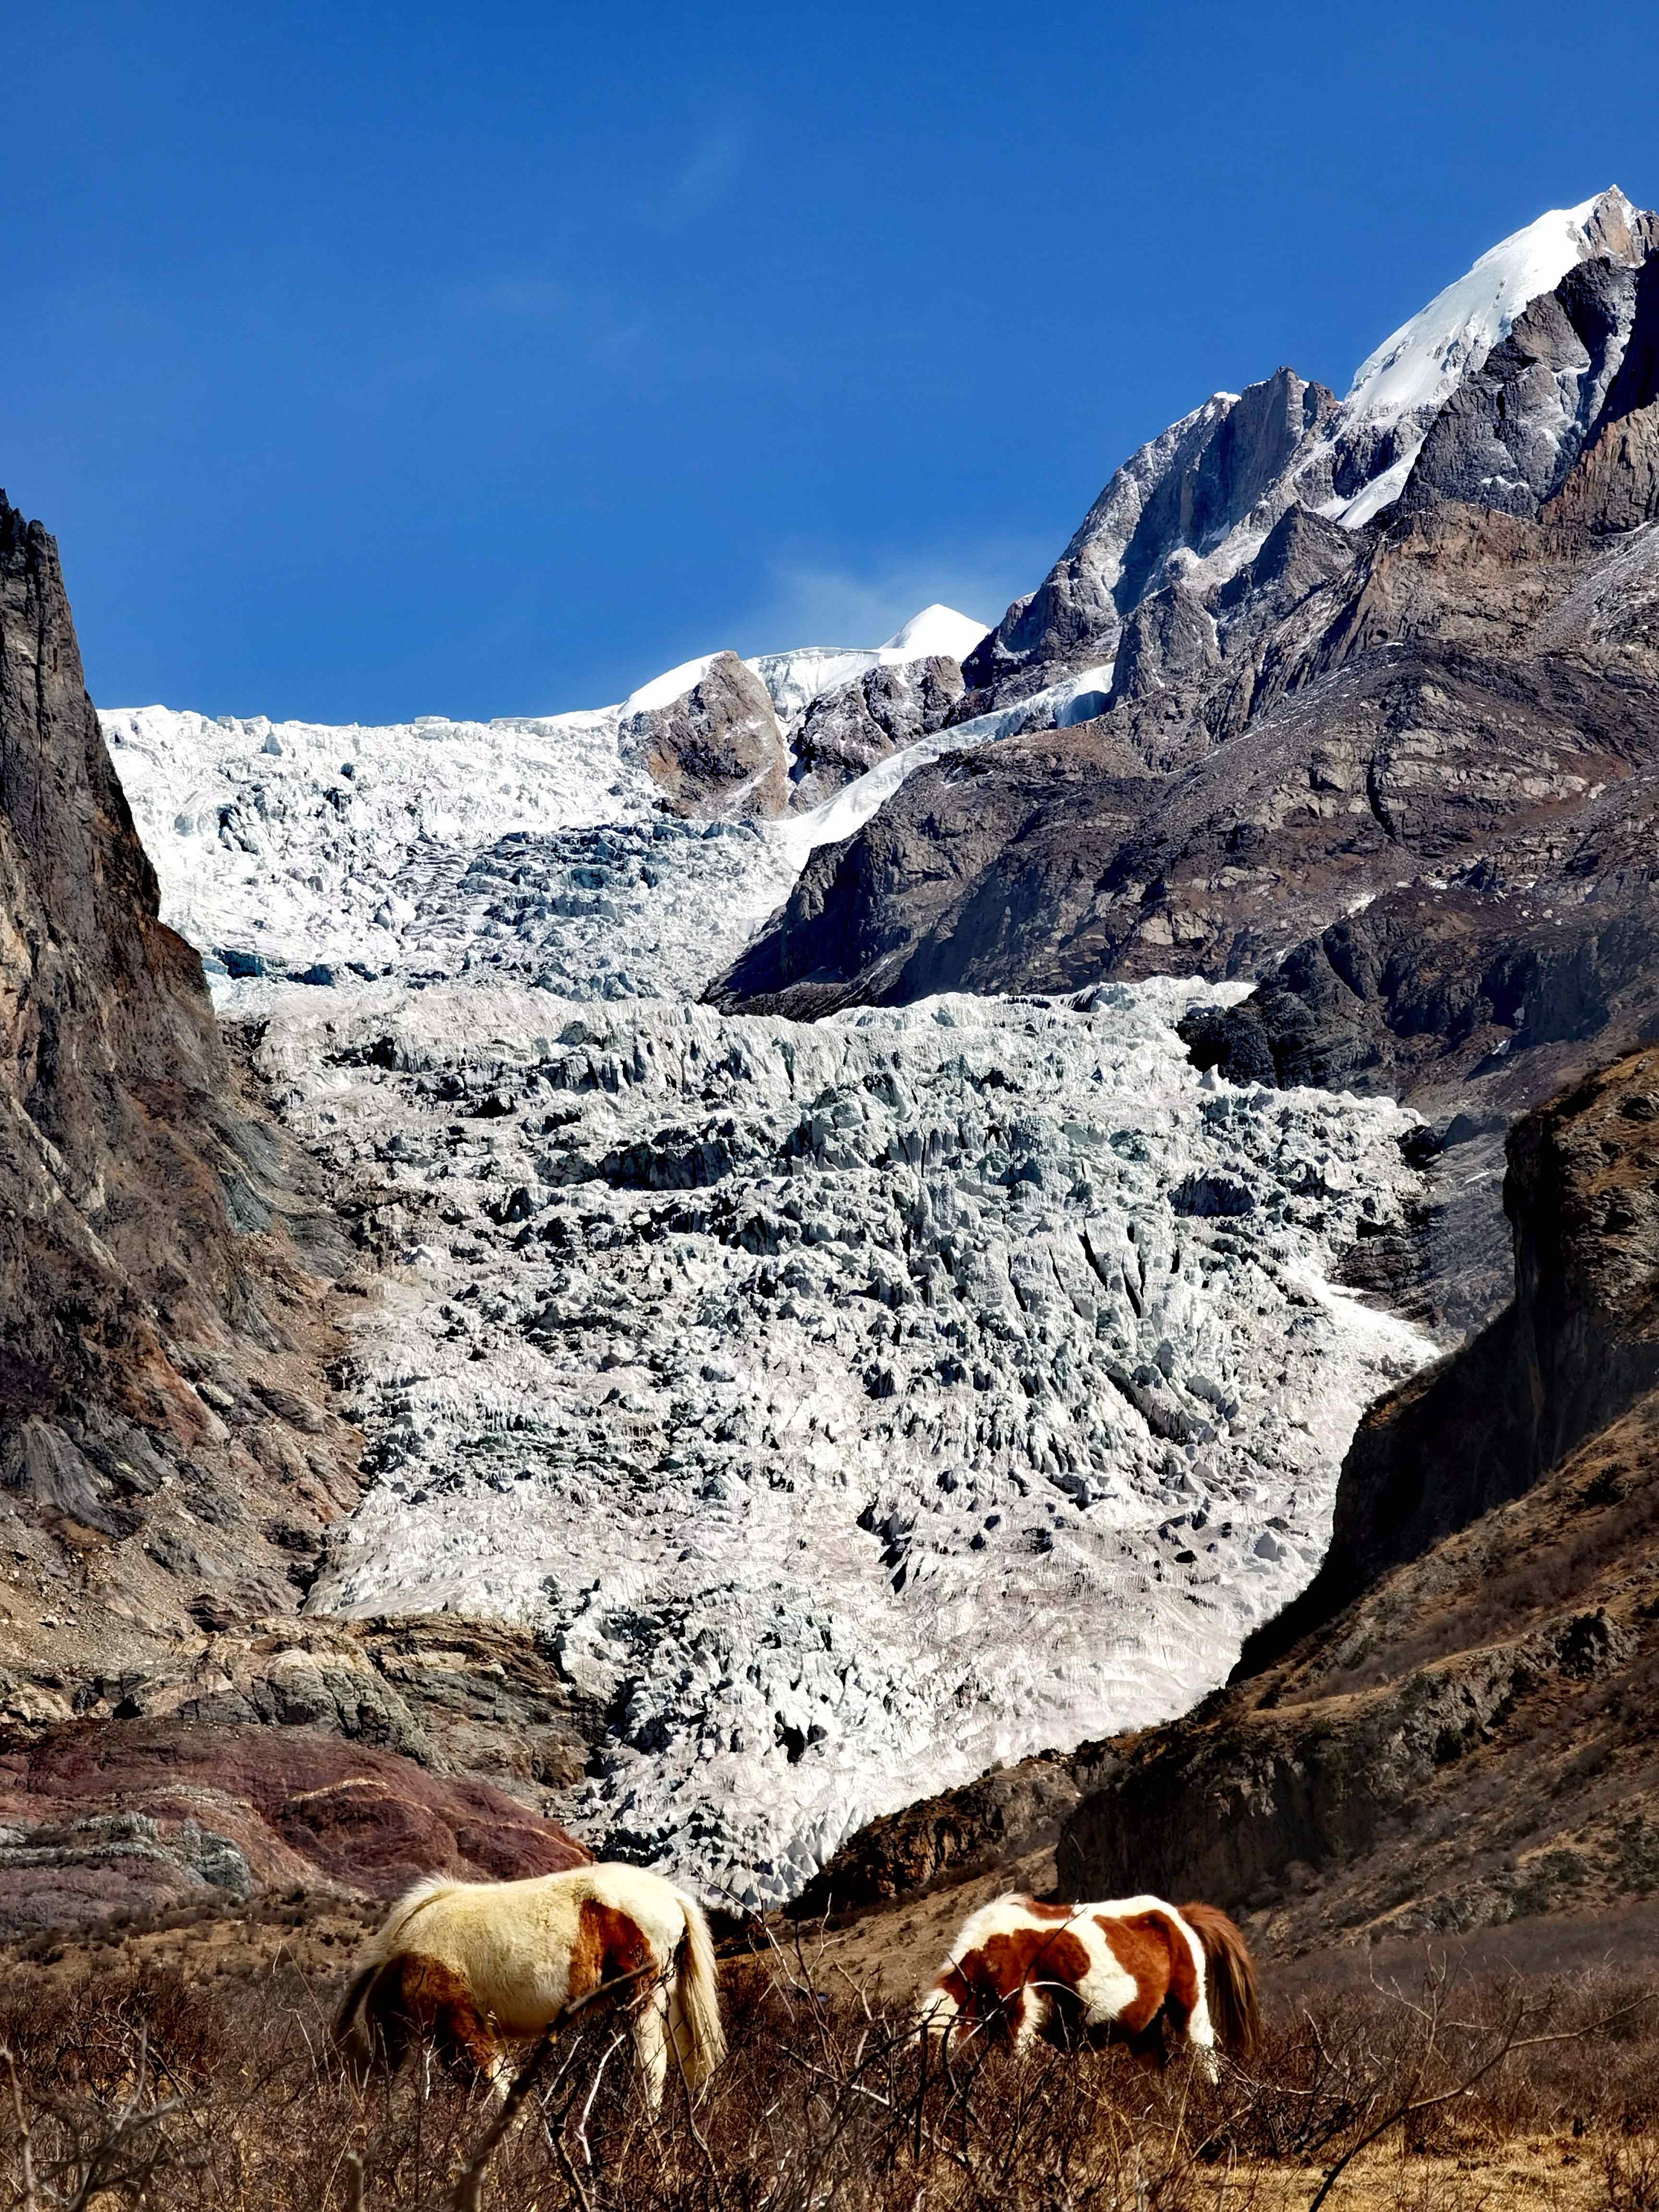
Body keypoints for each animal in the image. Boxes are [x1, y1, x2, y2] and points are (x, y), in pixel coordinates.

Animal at [334, 1867, 725, 2105]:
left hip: (640, 2001)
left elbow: (493, 2085)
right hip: (670, 2002)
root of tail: (673, 1897)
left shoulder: (459, 2024)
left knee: (652, 2068)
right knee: (689, 2063)